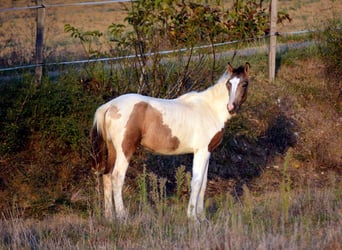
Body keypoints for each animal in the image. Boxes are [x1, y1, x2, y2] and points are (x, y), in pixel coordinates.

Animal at [90, 62, 251, 221]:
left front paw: (202, 217)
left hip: (112, 150)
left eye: (244, 84)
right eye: (229, 84)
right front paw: (193, 218)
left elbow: (204, 184)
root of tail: (109, 106)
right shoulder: (201, 151)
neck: (210, 109)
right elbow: (197, 182)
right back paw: (122, 217)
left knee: (107, 176)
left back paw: (109, 217)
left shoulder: (208, 152)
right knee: (117, 178)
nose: (231, 107)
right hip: (125, 150)